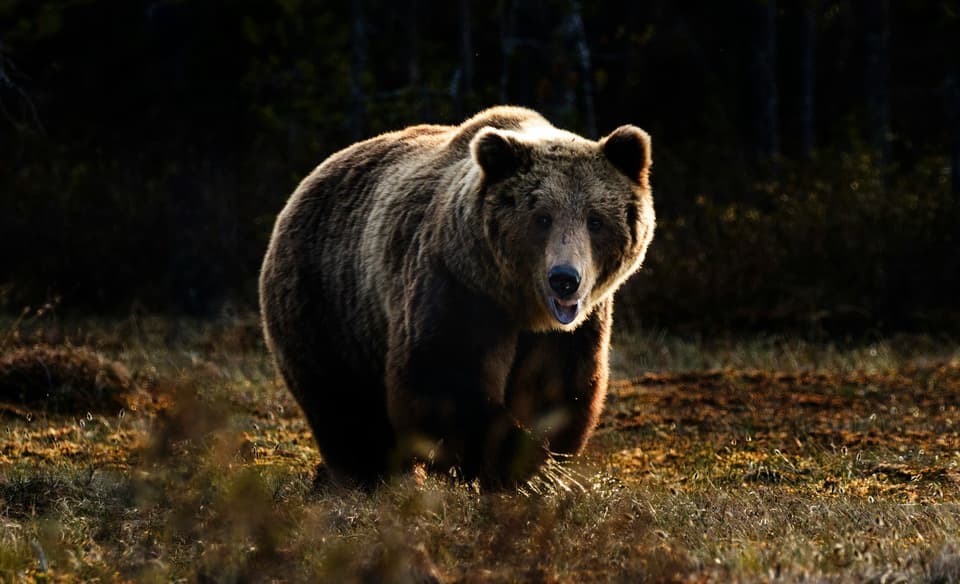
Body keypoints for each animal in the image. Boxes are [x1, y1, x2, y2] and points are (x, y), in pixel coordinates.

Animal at [258, 105, 655, 490]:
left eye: (595, 220)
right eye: (542, 218)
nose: (564, 280)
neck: (519, 303)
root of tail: (307, 182)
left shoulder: (572, 329)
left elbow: (557, 389)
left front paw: (540, 465)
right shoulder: (457, 287)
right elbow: (442, 379)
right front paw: (516, 465)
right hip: (327, 302)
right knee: (344, 403)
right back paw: (367, 476)